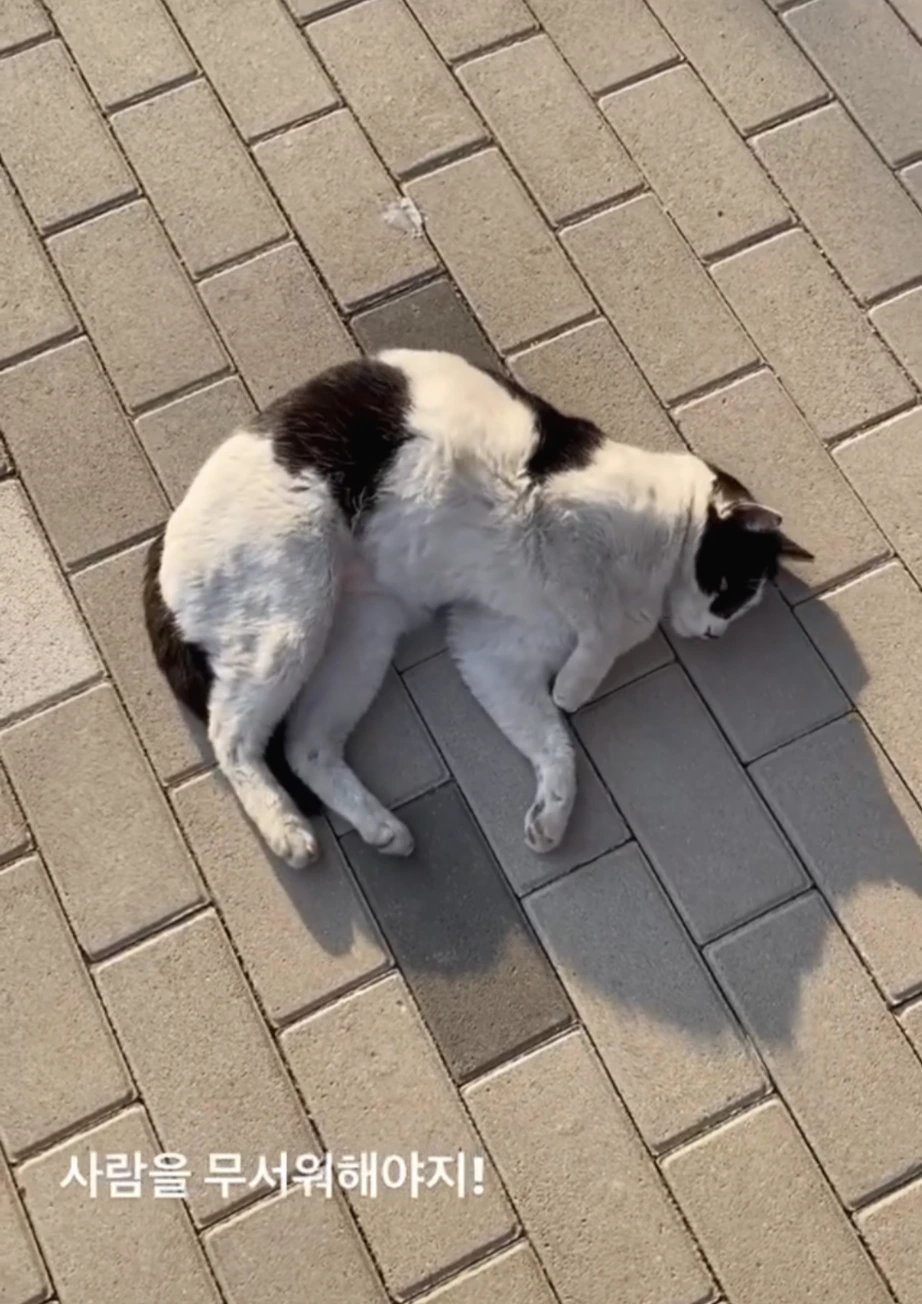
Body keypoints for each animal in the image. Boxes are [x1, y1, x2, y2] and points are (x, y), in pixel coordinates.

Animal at [145, 348, 811, 868]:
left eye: (737, 606)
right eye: (729, 587)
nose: (715, 632)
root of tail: (159, 545)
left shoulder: (490, 649)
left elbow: (554, 746)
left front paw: (551, 815)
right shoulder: (557, 522)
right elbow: (596, 625)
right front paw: (575, 688)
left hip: (361, 638)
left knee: (306, 746)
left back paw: (381, 828)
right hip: (291, 612)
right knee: (233, 736)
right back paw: (288, 833)